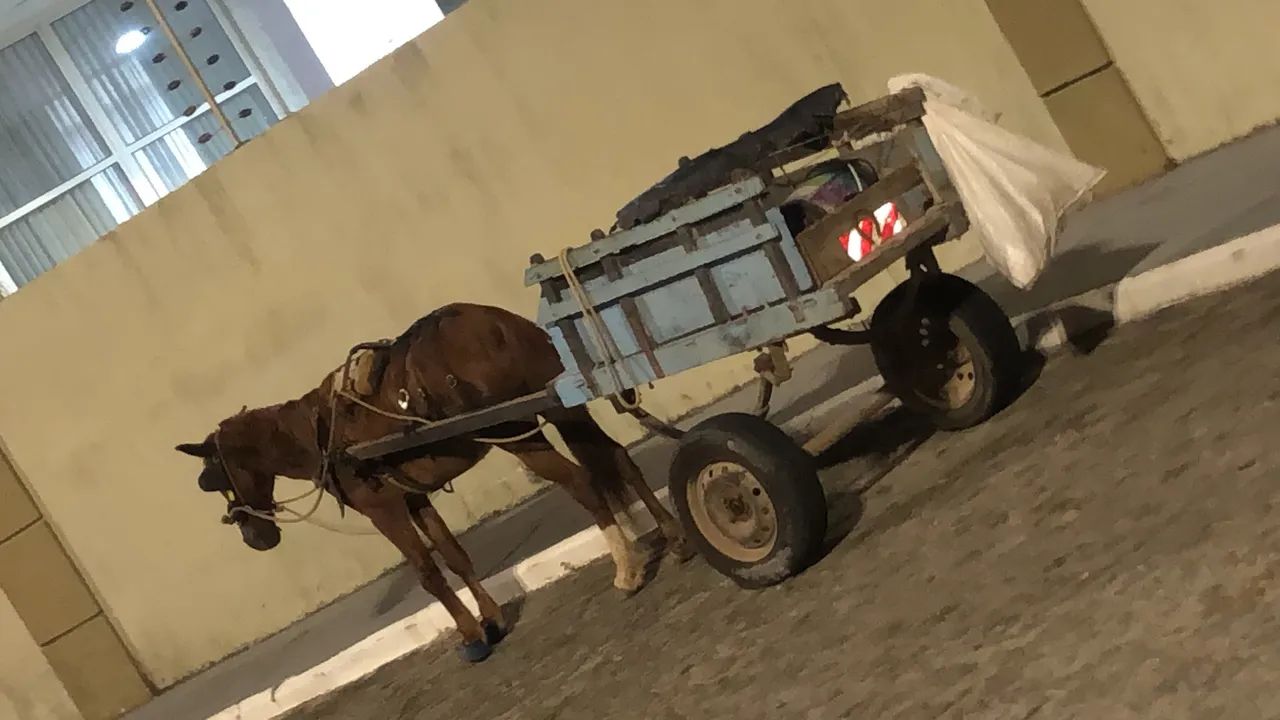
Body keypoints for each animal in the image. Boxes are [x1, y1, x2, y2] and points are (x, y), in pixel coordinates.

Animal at [175, 303, 691, 662]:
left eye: (216, 477)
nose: (254, 535)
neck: (320, 431)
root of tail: (499, 324)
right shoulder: (414, 498)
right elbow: (454, 555)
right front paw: (491, 618)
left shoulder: (384, 510)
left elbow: (426, 571)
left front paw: (471, 635)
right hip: (563, 408)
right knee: (615, 458)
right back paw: (673, 536)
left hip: (519, 432)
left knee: (581, 481)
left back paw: (626, 570)